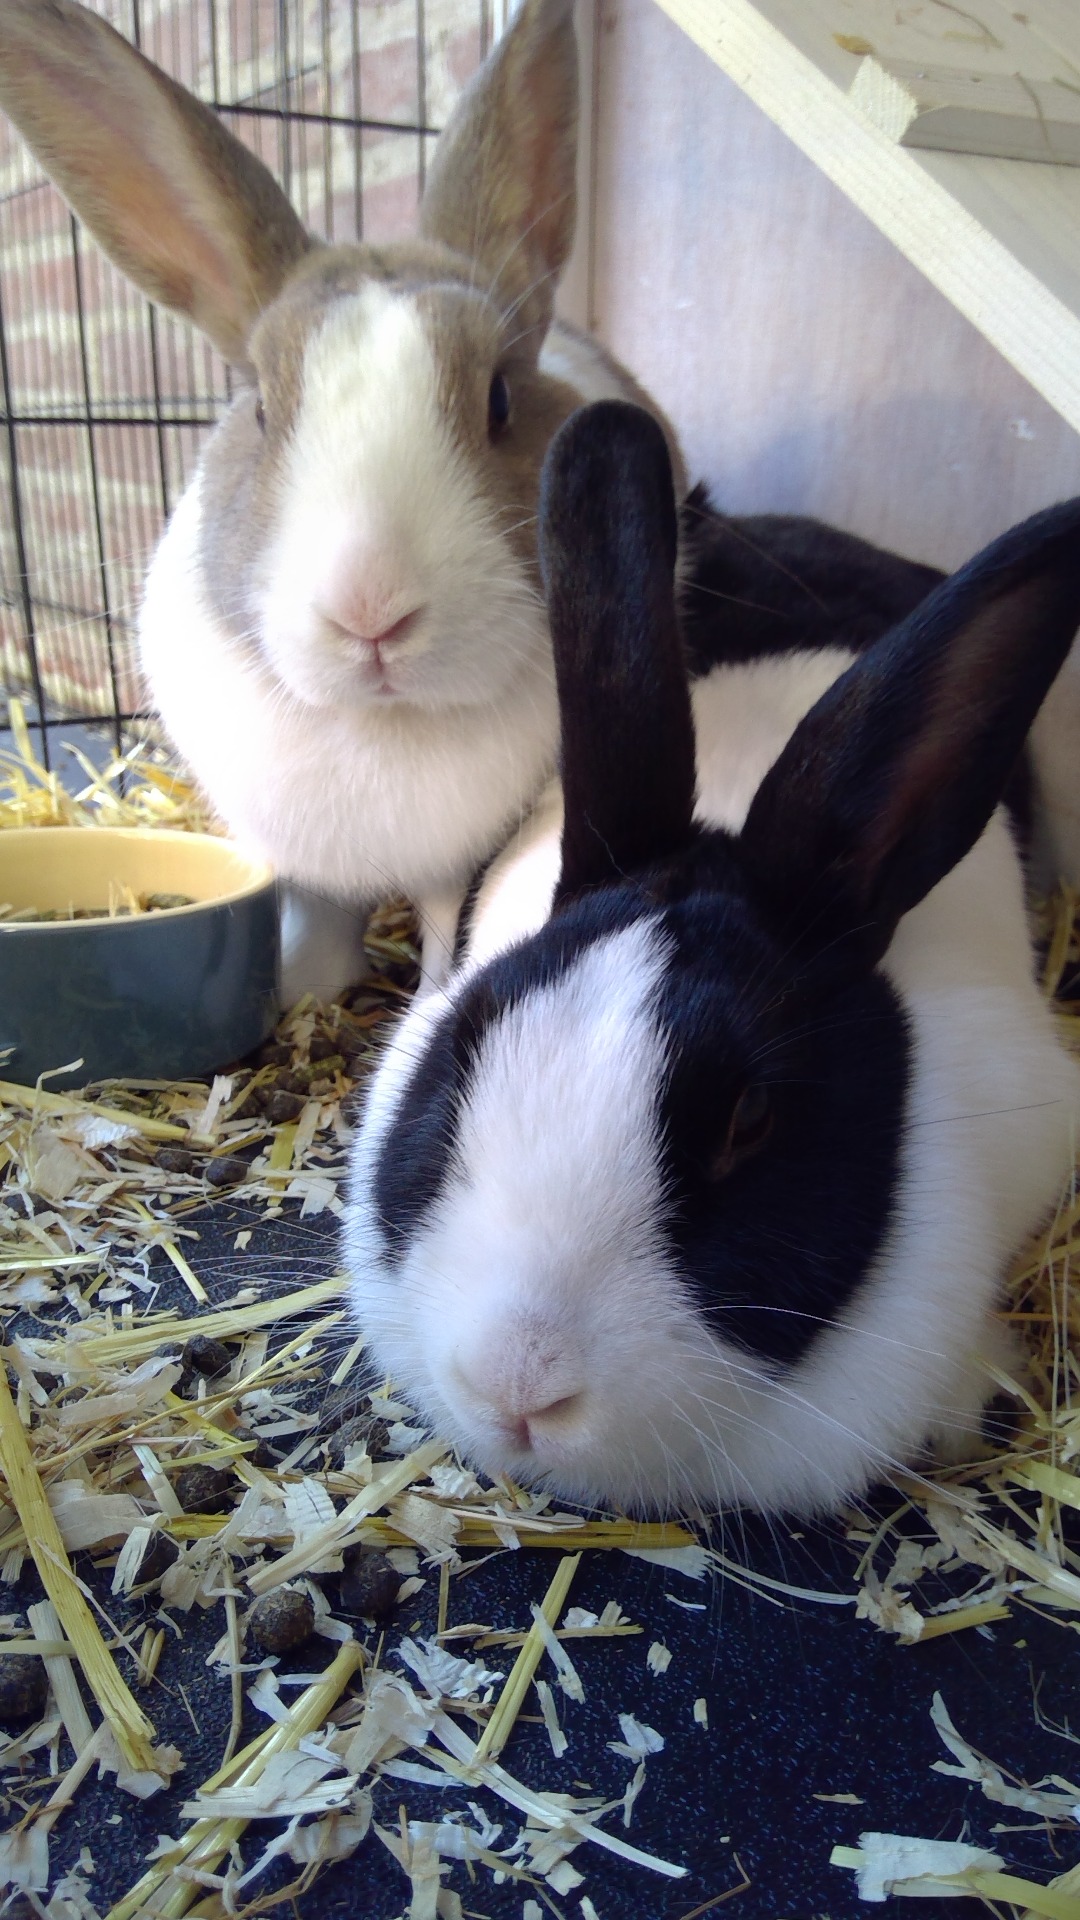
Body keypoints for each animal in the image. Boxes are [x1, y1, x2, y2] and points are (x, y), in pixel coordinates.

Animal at [0, 0, 681, 1004]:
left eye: (501, 400)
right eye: (259, 407)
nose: (371, 611)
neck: (374, 725)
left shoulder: (447, 860)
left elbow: (439, 931)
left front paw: (423, 1002)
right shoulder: (301, 864)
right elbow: (314, 925)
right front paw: (297, 987)